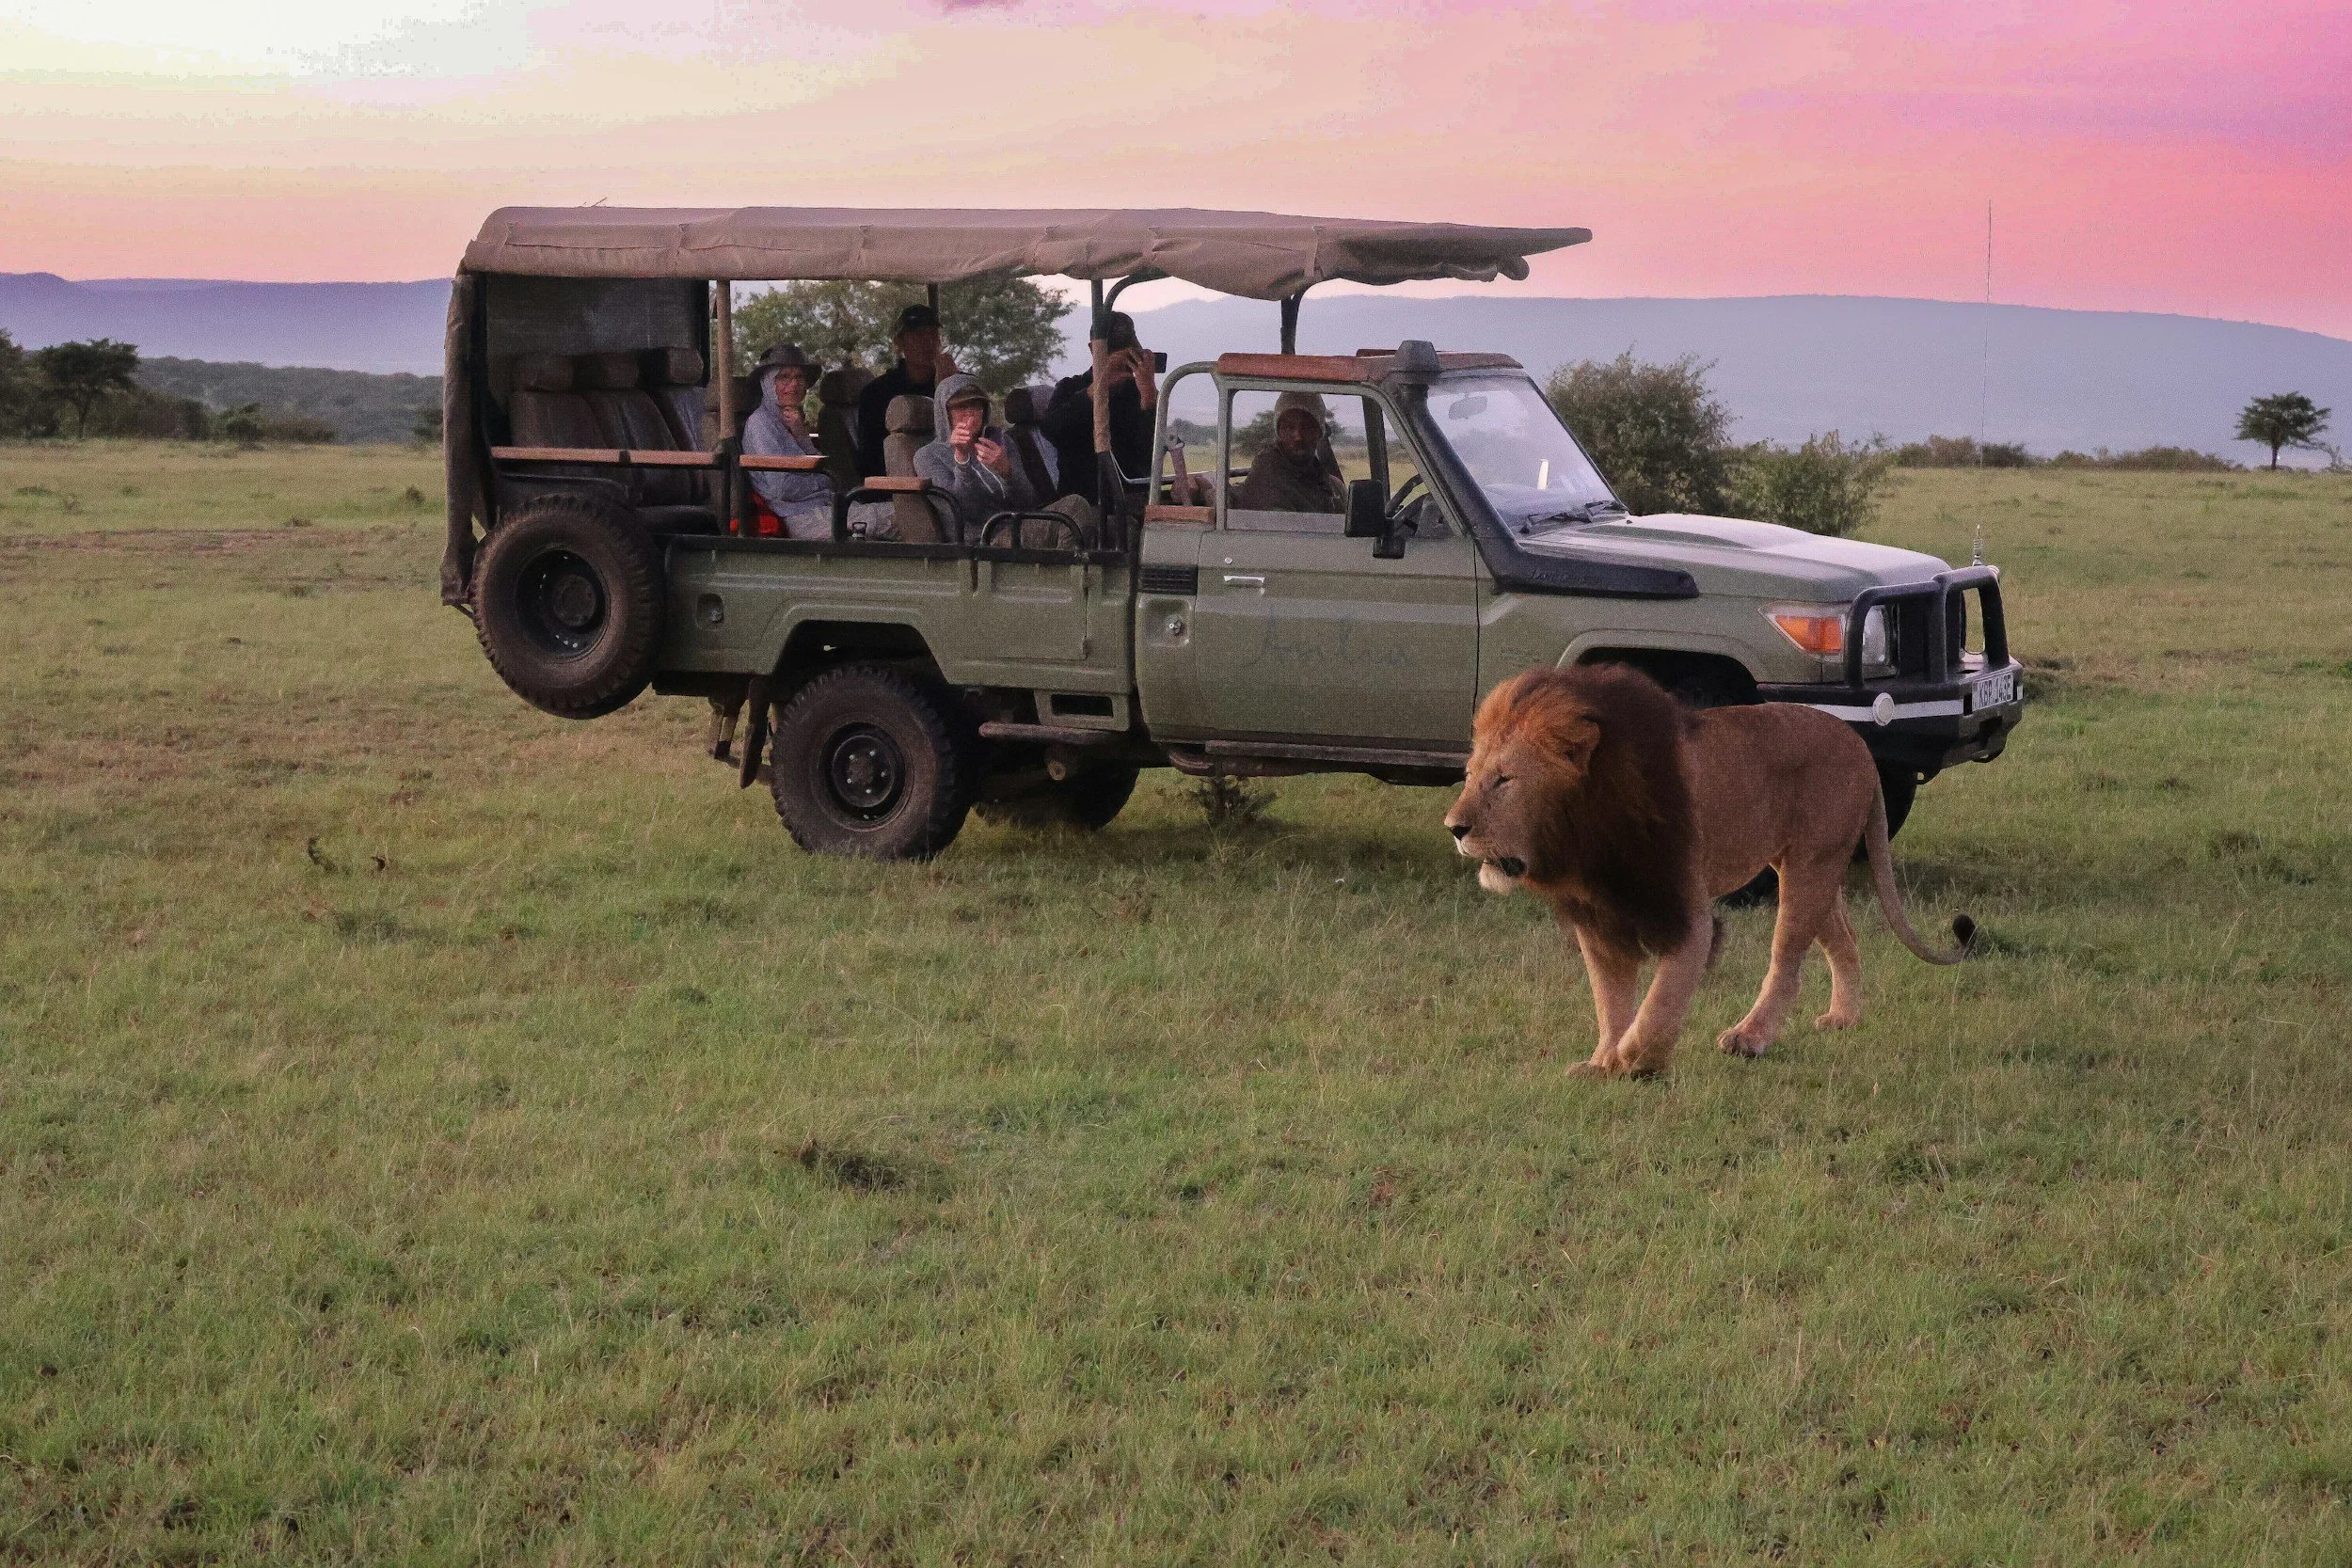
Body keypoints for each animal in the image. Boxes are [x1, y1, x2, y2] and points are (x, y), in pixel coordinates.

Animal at [1444, 663, 1974, 1076]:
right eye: (1468, 776)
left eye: (1504, 780)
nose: (1454, 827)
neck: (1581, 838)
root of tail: (1859, 743)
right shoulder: (1599, 916)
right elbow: (1609, 998)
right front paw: (1601, 1062)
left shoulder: (1686, 910)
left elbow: (1663, 994)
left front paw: (1636, 1057)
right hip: (1808, 867)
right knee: (1844, 938)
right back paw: (1843, 1019)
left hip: (1809, 867)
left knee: (1787, 962)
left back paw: (1749, 1038)